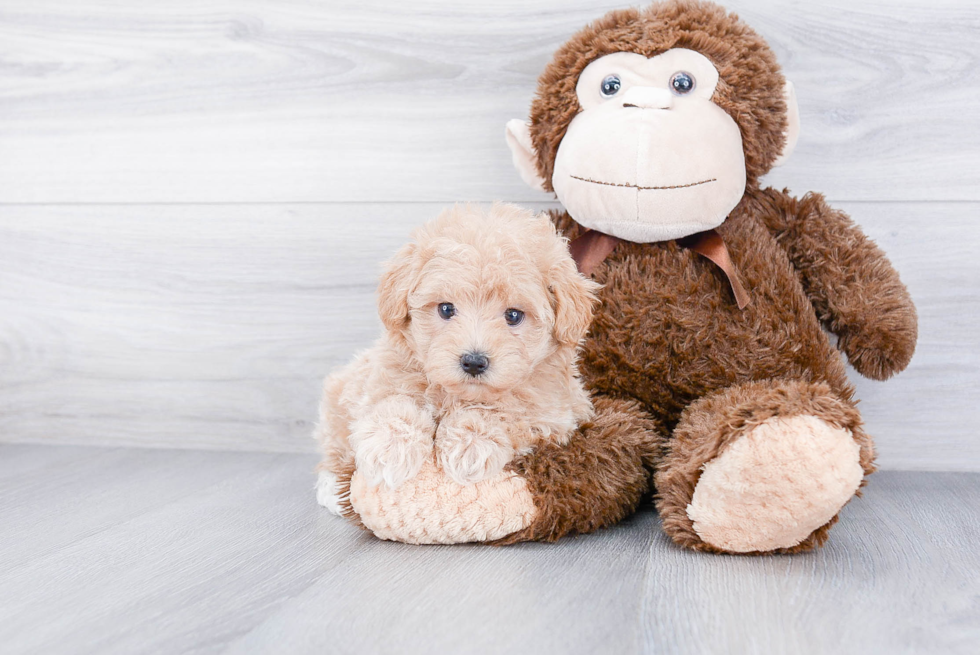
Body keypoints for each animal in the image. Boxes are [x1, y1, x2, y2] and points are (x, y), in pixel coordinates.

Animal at [314, 202, 600, 516]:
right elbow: (393, 401)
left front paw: (470, 444)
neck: (456, 395)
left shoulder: (555, 414)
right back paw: (332, 489)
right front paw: (391, 447)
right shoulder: (380, 379)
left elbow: (505, 410)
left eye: (513, 315)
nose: (474, 362)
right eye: (446, 309)